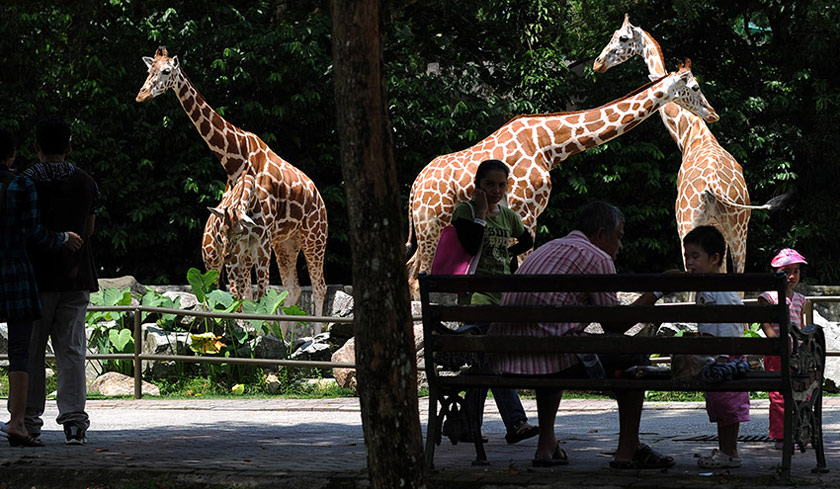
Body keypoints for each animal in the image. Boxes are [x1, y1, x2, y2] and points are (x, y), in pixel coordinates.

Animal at [135, 46, 328, 320]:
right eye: (148, 70)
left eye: (166, 71)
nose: (141, 96)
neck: (236, 160)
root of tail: (316, 193)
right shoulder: (241, 240)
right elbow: (244, 295)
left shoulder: (259, 239)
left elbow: (257, 296)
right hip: (286, 242)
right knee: (292, 290)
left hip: (314, 234)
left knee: (319, 286)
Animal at [404, 63, 720, 296]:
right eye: (695, 87)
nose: (713, 113)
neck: (550, 144)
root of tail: (415, 185)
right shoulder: (526, 210)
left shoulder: (522, 213)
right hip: (431, 222)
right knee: (420, 275)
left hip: (433, 223)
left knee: (411, 269)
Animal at [592, 15, 784, 272]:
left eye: (622, 38)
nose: (598, 63)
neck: (692, 137)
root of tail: (713, 187)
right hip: (739, 231)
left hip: (688, 226)